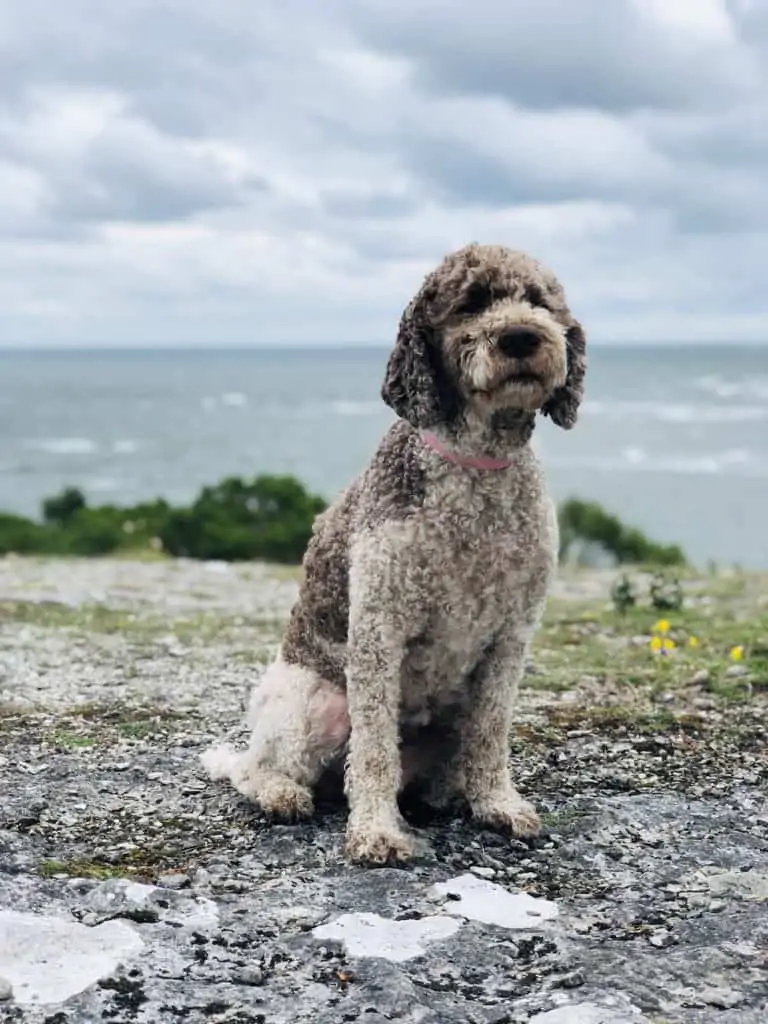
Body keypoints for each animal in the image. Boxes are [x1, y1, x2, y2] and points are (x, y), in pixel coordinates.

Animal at [201, 241, 585, 864]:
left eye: (538, 301)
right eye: (471, 302)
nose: (522, 337)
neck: (477, 465)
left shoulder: (511, 636)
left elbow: (491, 730)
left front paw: (497, 803)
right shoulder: (380, 626)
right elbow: (376, 747)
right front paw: (378, 830)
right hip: (311, 701)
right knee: (259, 768)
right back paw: (282, 793)